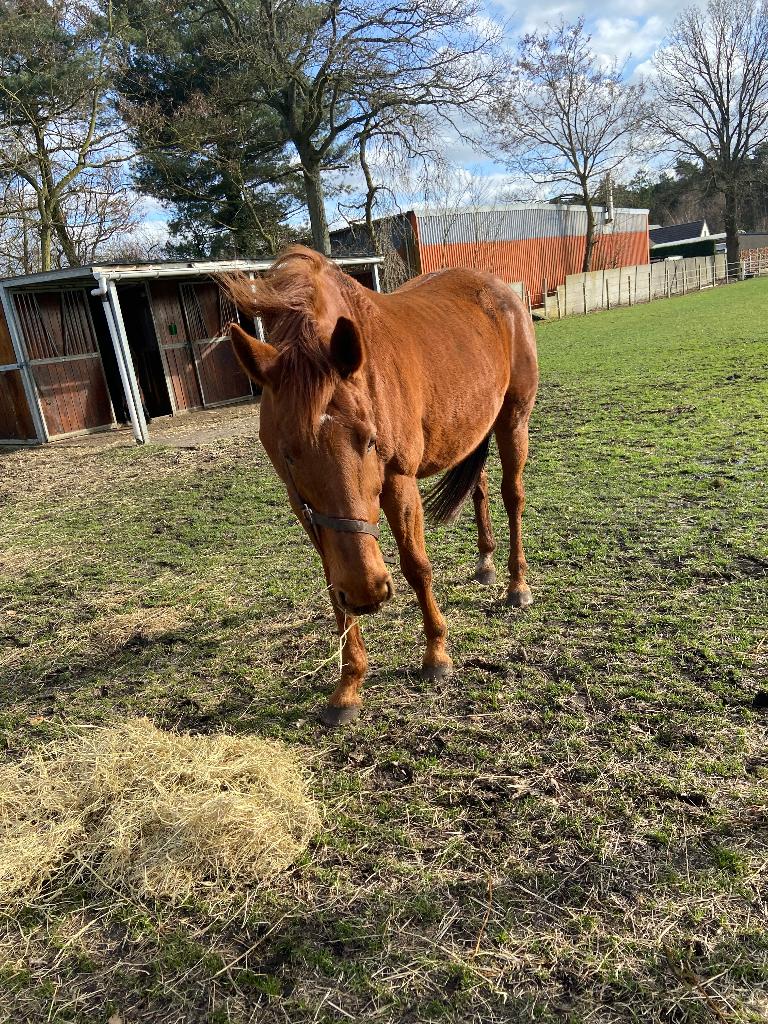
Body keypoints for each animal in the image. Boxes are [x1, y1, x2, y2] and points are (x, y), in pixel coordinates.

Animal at [223, 246, 538, 726]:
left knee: (511, 496)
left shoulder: (399, 481)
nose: (368, 592)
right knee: (481, 489)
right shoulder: (306, 510)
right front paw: (348, 685)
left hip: (514, 419)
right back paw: (485, 562)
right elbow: (333, 585)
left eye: (370, 440)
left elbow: (417, 567)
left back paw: (516, 585)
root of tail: (500, 289)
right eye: (290, 453)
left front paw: (436, 655)